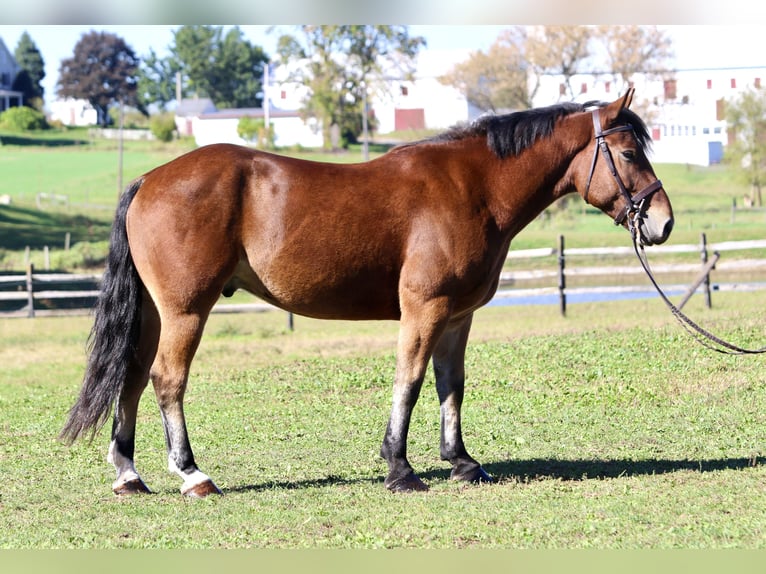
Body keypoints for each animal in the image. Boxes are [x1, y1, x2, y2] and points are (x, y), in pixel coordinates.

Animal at [60, 89, 674, 497]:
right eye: (627, 153)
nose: (662, 223)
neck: (473, 188)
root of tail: (150, 178)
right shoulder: (425, 310)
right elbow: (410, 381)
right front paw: (400, 469)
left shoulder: (458, 317)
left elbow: (451, 386)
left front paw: (462, 462)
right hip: (186, 310)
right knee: (166, 379)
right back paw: (191, 474)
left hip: (155, 313)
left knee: (132, 377)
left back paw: (129, 475)